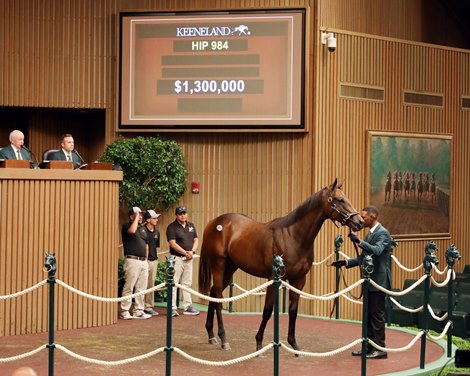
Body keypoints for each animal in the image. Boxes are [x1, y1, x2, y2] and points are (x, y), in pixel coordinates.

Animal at [198, 179, 364, 352]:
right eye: (340, 200)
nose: (360, 222)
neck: (293, 236)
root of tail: (214, 223)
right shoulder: (274, 278)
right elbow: (267, 311)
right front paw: (259, 343)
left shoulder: (299, 279)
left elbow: (293, 311)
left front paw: (294, 344)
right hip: (219, 264)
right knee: (217, 296)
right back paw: (224, 339)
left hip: (231, 267)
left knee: (213, 293)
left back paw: (211, 335)